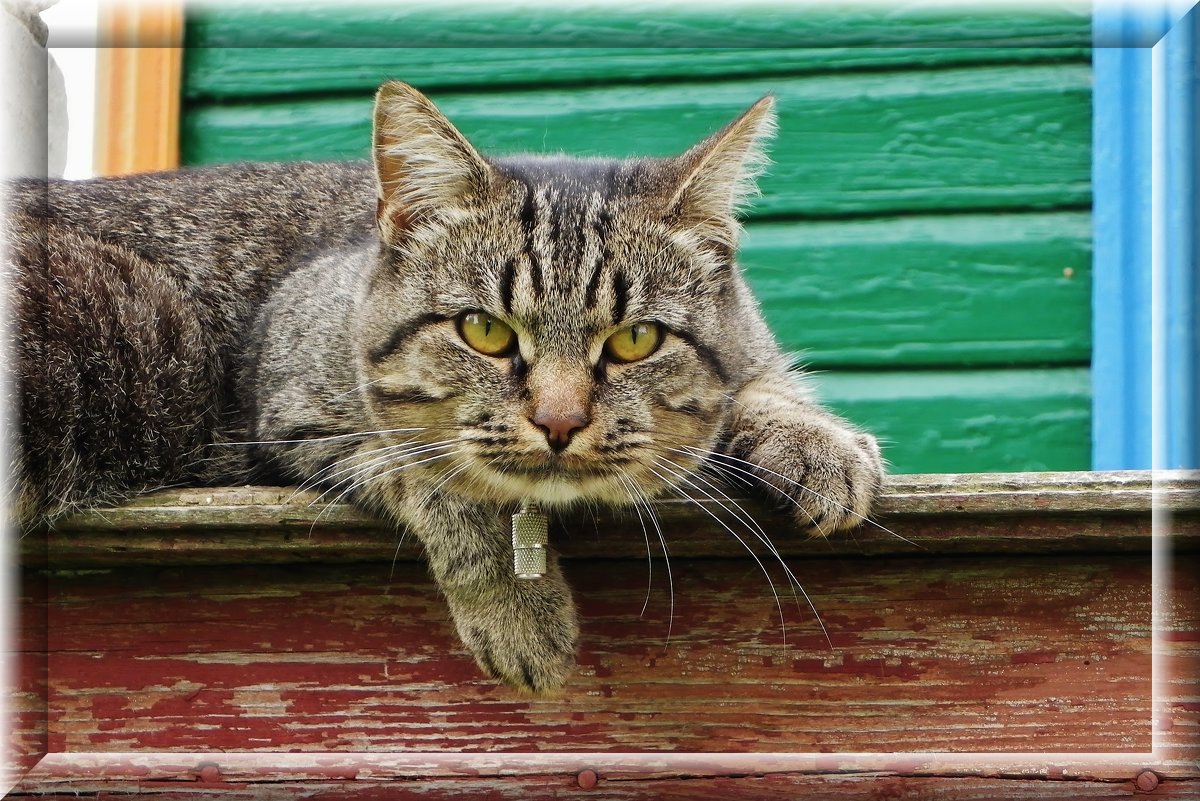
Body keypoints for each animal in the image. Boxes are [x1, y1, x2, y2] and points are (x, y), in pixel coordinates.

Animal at [7, 82, 883, 695]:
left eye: (636, 339)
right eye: (484, 331)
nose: (558, 420)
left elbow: (759, 378)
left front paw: (819, 440)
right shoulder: (294, 415)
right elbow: (443, 480)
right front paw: (518, 608)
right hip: (142, 340)